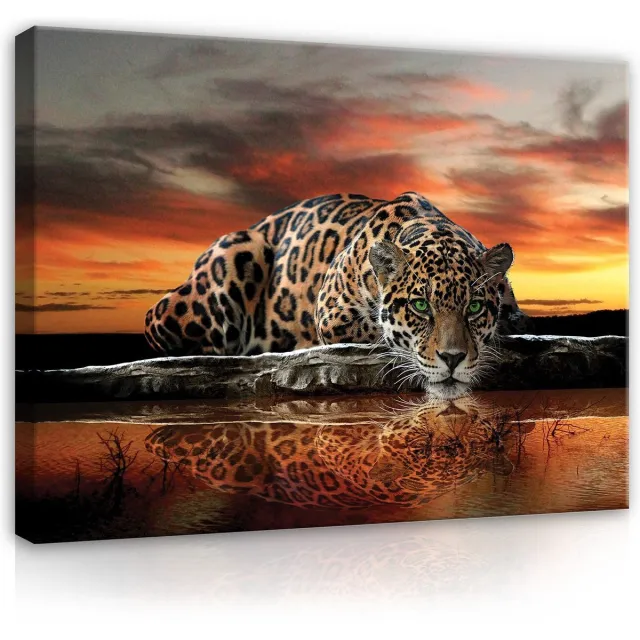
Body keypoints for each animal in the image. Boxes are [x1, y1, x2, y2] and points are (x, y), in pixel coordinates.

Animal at [145, 191, 532, 385]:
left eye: (474, 307)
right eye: (420, 306)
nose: (453, 359)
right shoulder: (332, 313)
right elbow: (378, 330)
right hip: (235, 253)